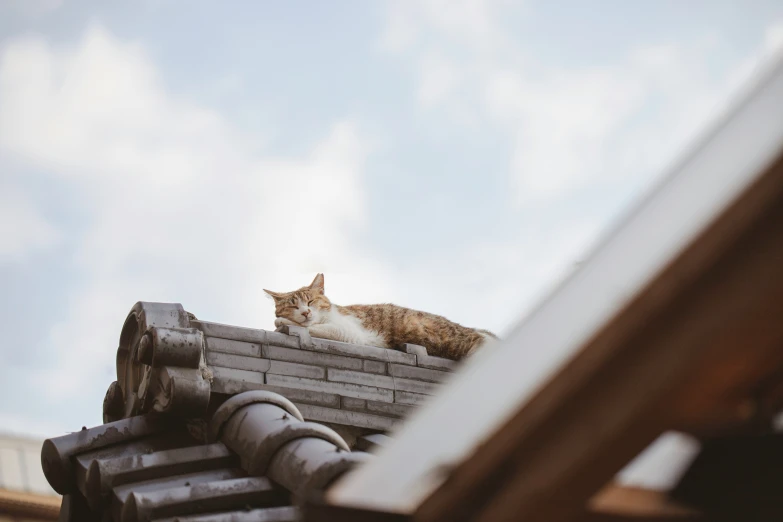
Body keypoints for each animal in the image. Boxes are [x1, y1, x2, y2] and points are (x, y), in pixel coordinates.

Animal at [264, 272, 496, 358]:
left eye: (310, 301)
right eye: (294, 306)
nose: (305, 312)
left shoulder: (348, 332)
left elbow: (309, 327)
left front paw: (281, 321)